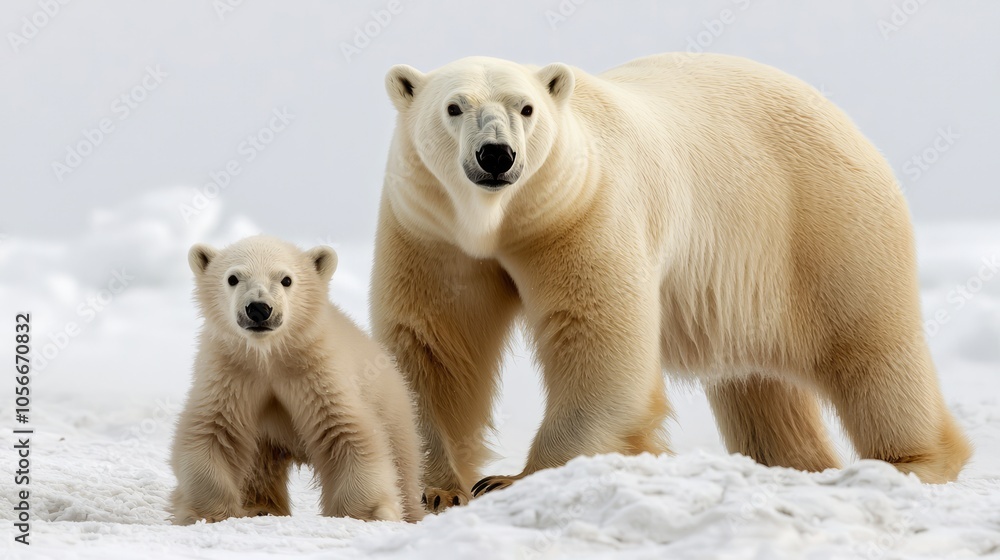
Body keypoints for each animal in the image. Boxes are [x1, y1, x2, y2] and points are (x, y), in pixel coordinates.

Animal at [170, 235, 424, 524]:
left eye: (286, 279)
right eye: (233, 278)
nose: (259, 309)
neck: (270, 354)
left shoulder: (317, 374)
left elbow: (348, 433)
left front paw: (370, 514)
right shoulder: (230, 374)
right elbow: (212, 432)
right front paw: (205, 515)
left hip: (394, 410)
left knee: (403, 463)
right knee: (259, 463)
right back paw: (261, 508)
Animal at [369, 53, 972, 512]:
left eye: (526, 107)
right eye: (453, 107)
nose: (496, 155)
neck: (505, 219)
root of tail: (842, 118)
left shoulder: (583, 214)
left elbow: (598, 337)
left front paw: (516, 479)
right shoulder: (432, 233)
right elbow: (433, 345)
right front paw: (436, 489)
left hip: (825, 224)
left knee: (871, 346)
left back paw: (912, 462)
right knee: (757, 384)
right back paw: (794, 464)